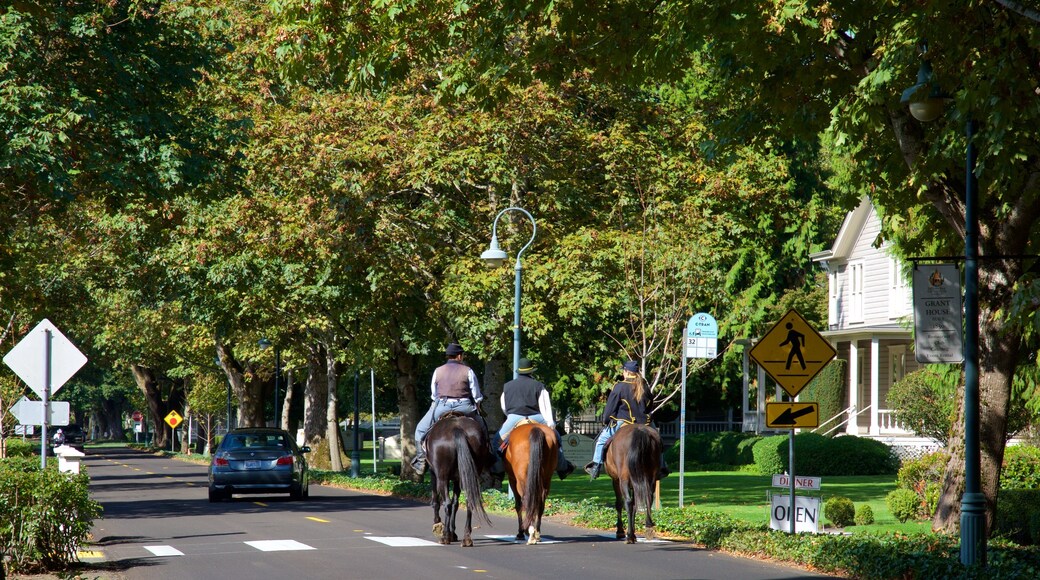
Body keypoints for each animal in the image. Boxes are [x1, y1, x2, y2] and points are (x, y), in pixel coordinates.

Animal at [426, 415, 490, 548]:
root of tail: (457, 429)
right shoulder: (457, 480)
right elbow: (456, 503)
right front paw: (453, 533)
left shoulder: (433, 473)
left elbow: (436, 501)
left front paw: (438, 525)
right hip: (468, 475)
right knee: (469, 502)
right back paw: (466, 538)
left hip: (442, 477)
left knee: (446, 503)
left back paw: (445, 536)